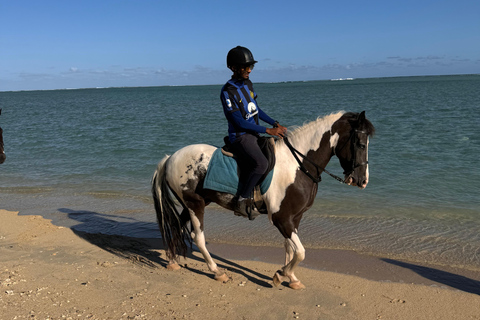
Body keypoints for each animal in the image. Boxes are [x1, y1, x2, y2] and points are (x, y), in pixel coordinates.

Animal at [153, 111, 376, 288]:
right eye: (360, 144)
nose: (363, 180)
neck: (297, 165)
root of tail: (171, 157)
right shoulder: (281, 219)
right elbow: (300, 252)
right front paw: (280, 274)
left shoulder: (294, 218)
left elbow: (290, 248)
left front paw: (291, 278)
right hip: (195, 204)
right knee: (197, 236)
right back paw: (217, 272)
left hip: (191, 203)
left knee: (176, 225)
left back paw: (172, 260)